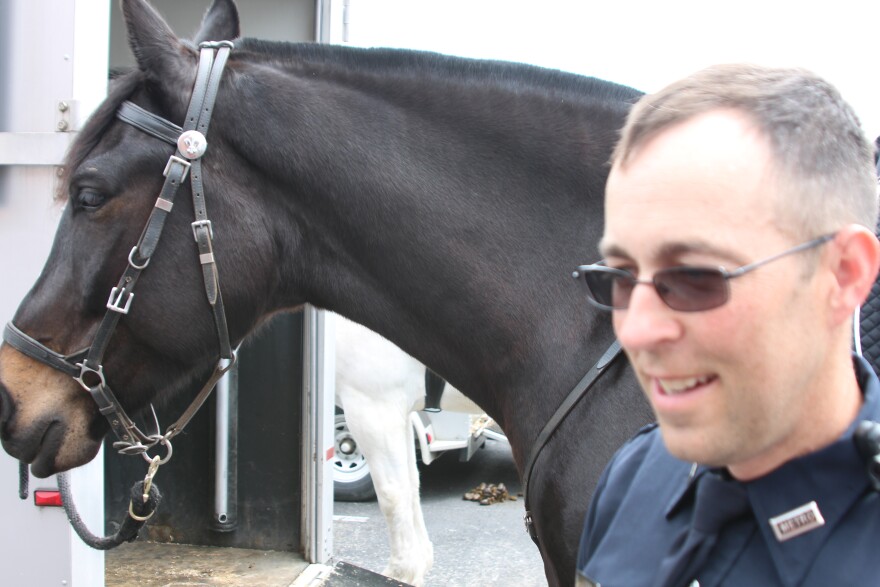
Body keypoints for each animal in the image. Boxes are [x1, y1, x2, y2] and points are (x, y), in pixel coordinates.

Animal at [332, 316, 482, 587]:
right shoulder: (399, 412)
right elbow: (411, 485)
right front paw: (418, 565)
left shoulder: (373, 409)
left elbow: (392, 494)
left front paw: (400, 571)